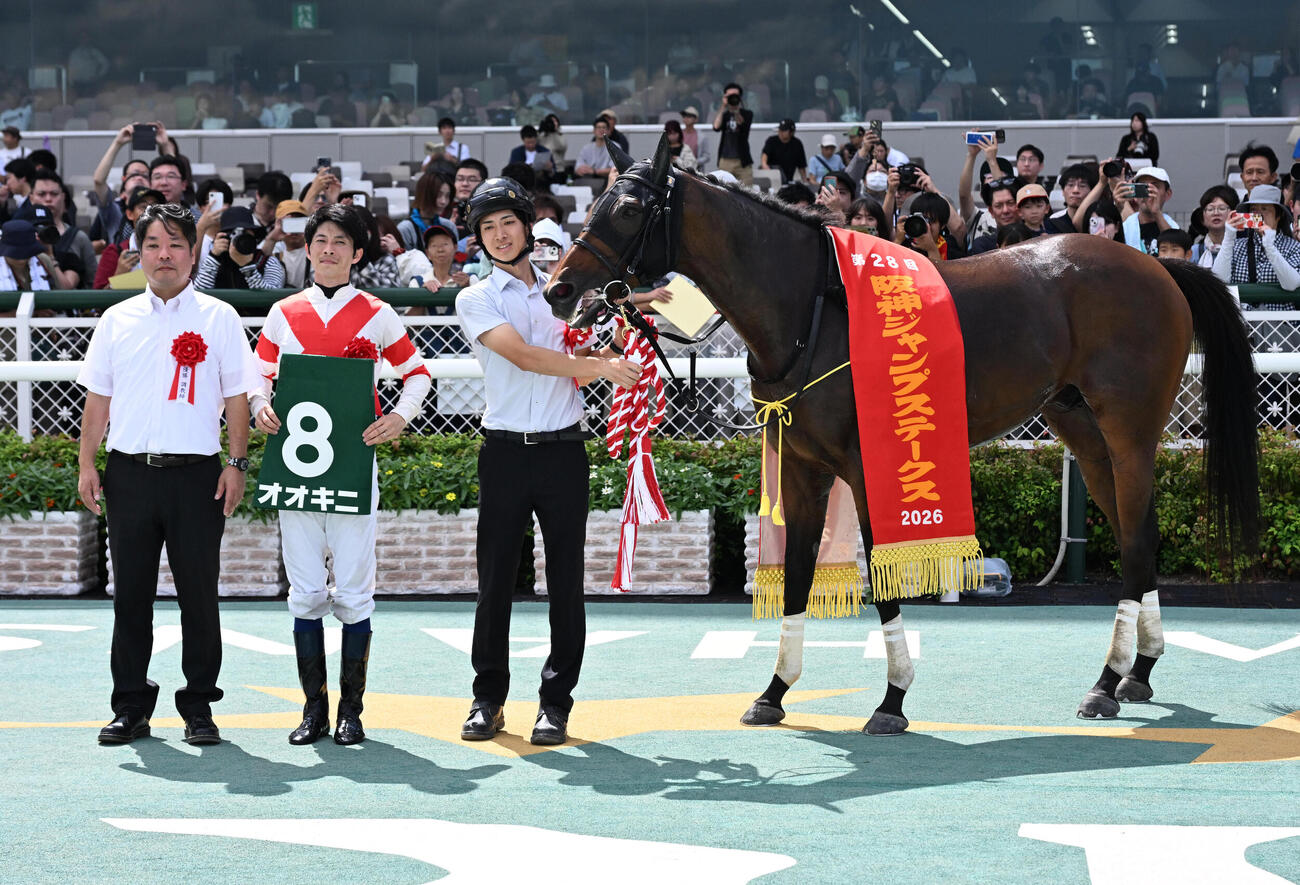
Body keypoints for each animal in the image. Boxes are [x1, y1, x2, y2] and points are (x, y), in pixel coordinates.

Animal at [543, 136, 1260, 734]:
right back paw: (1139, 670)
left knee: (1136, 539)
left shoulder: (869, 469)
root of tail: (1158, 270)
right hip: (1080, 428)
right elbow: (797, 574)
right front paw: (774, 692)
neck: (815, 310)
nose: (558, 288)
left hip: (1130, 429)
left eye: (631, 208)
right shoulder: (801, 465)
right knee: (1139, 533)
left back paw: (1107, 682)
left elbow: (882, 581)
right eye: (597, 201)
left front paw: (892, 699)